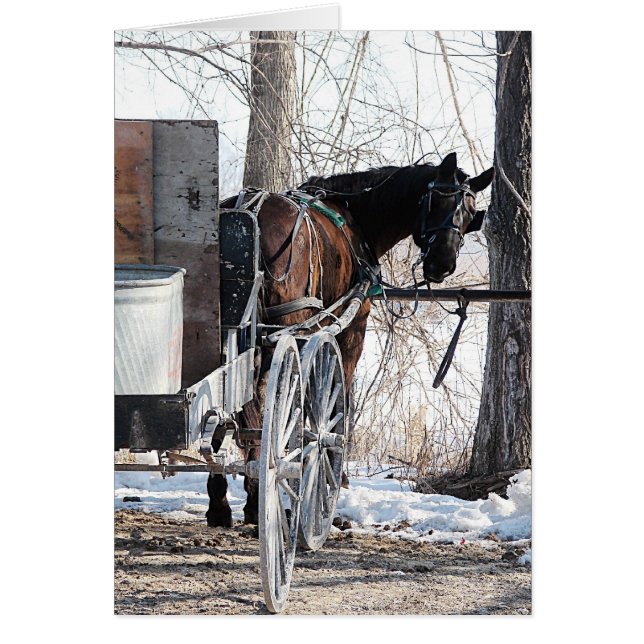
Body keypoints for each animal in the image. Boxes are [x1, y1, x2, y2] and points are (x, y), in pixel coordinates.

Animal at [206, 151, 494, 527]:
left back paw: (222, 498)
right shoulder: (350, 329)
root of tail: (248, 212)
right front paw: (331, 469)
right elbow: (331, 396)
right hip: (287, 328)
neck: (356, 216)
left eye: (471, 213)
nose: (442, 263)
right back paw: (257, 494)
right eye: (438, 200)